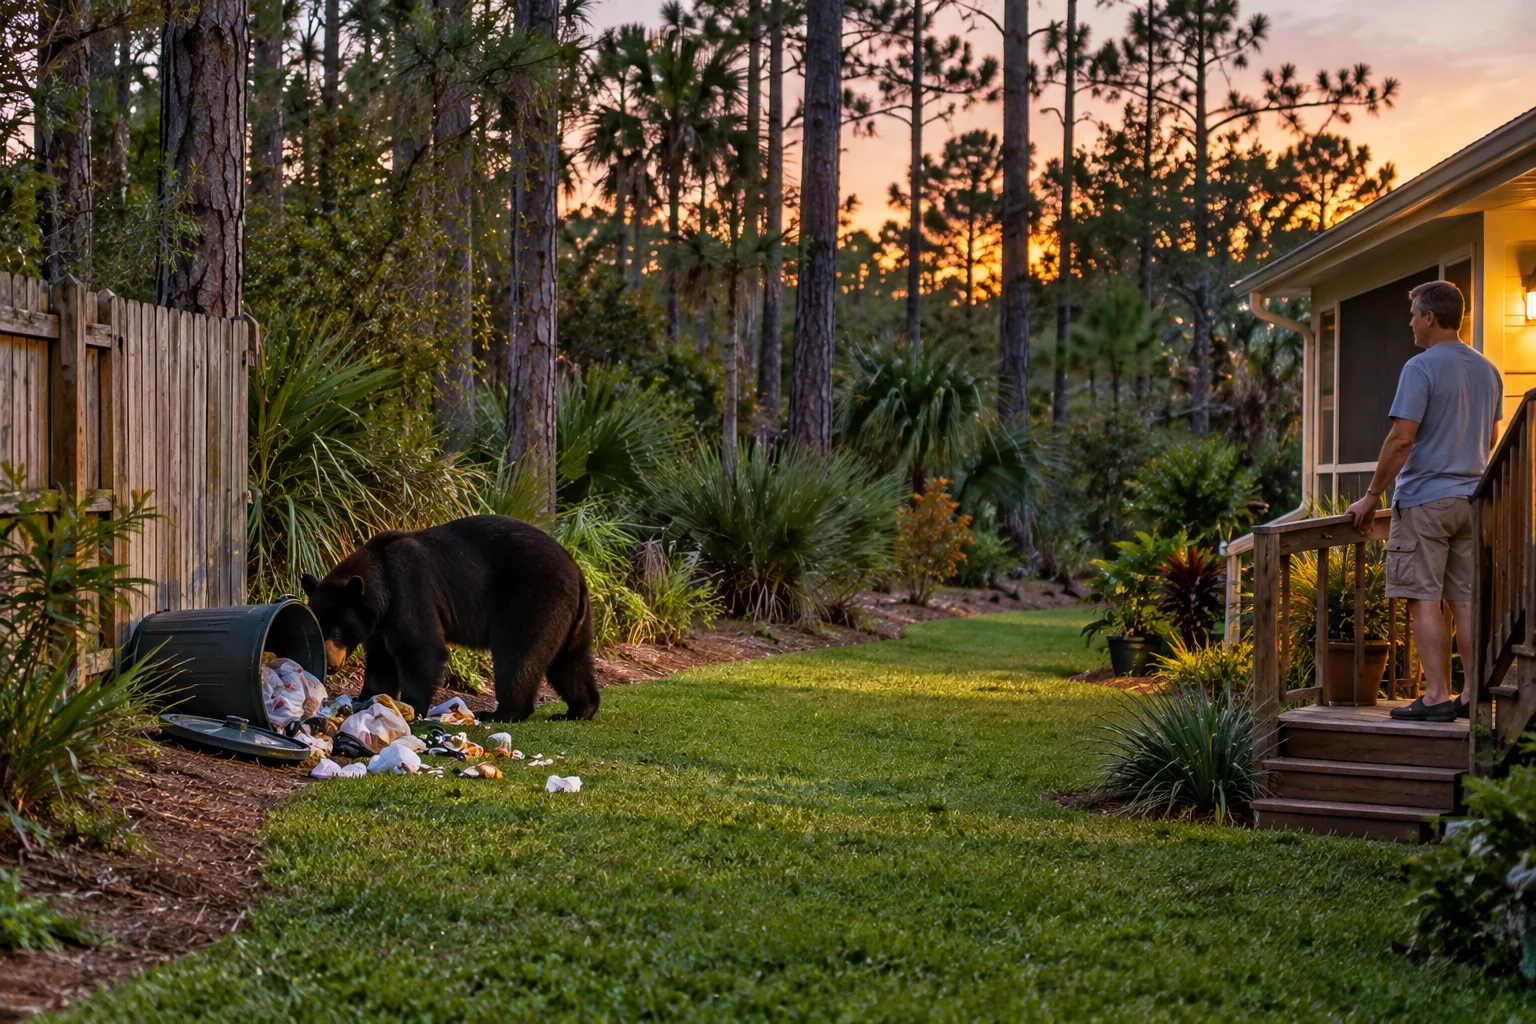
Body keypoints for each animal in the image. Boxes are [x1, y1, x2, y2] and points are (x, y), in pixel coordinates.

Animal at [300, 514, 599, 722]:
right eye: (319, 628)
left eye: (335, 632)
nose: (329, 667)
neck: (381, 583)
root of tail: (579, 574)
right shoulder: (379, 625)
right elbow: (381, 660)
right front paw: (366, 699)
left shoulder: (409, 589)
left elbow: (420, 647)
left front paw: (412, 707)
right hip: (570, 618)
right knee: (570, 660)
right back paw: (579, 709)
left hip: (532, 598)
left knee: (518, 656)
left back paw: (502, 713)